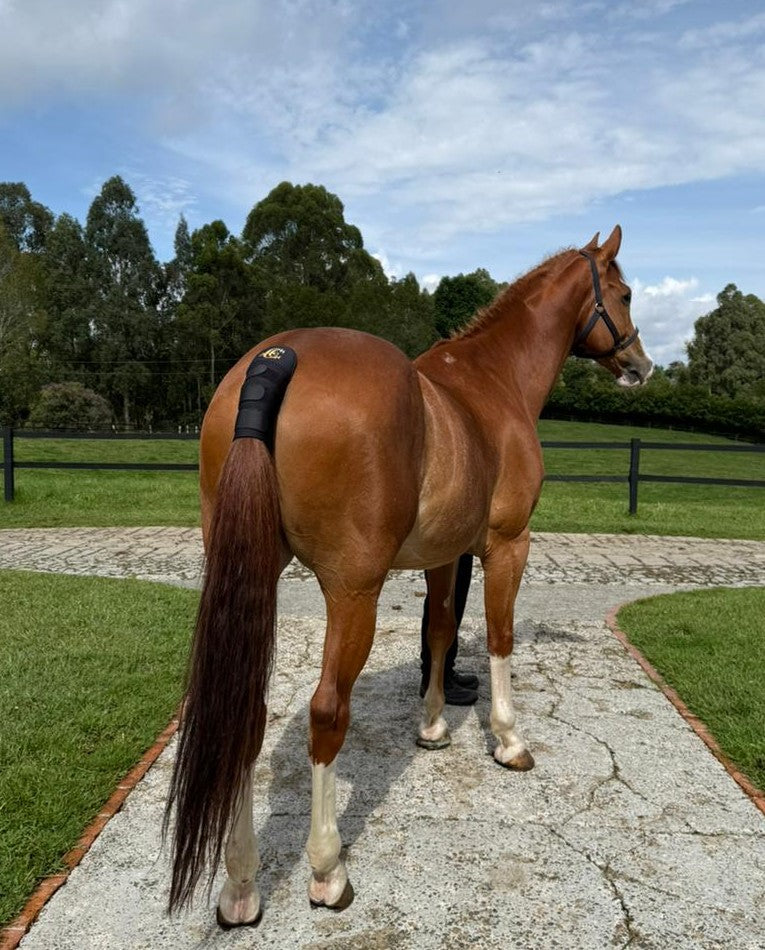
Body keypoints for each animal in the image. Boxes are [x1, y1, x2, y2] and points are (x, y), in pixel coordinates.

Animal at [164, 225, 653, 926]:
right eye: (624, 292)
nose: (641, 365)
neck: (492, 382)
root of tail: (276, 360)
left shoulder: (445, 555)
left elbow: (443, 631)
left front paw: (433, 727)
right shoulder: (507, 545)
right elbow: (499, 637)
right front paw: (508, 739)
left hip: (253, 579)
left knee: (247, 717)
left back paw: (241, 885)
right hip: (353, 594)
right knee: (326, 711)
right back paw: (327, 870)